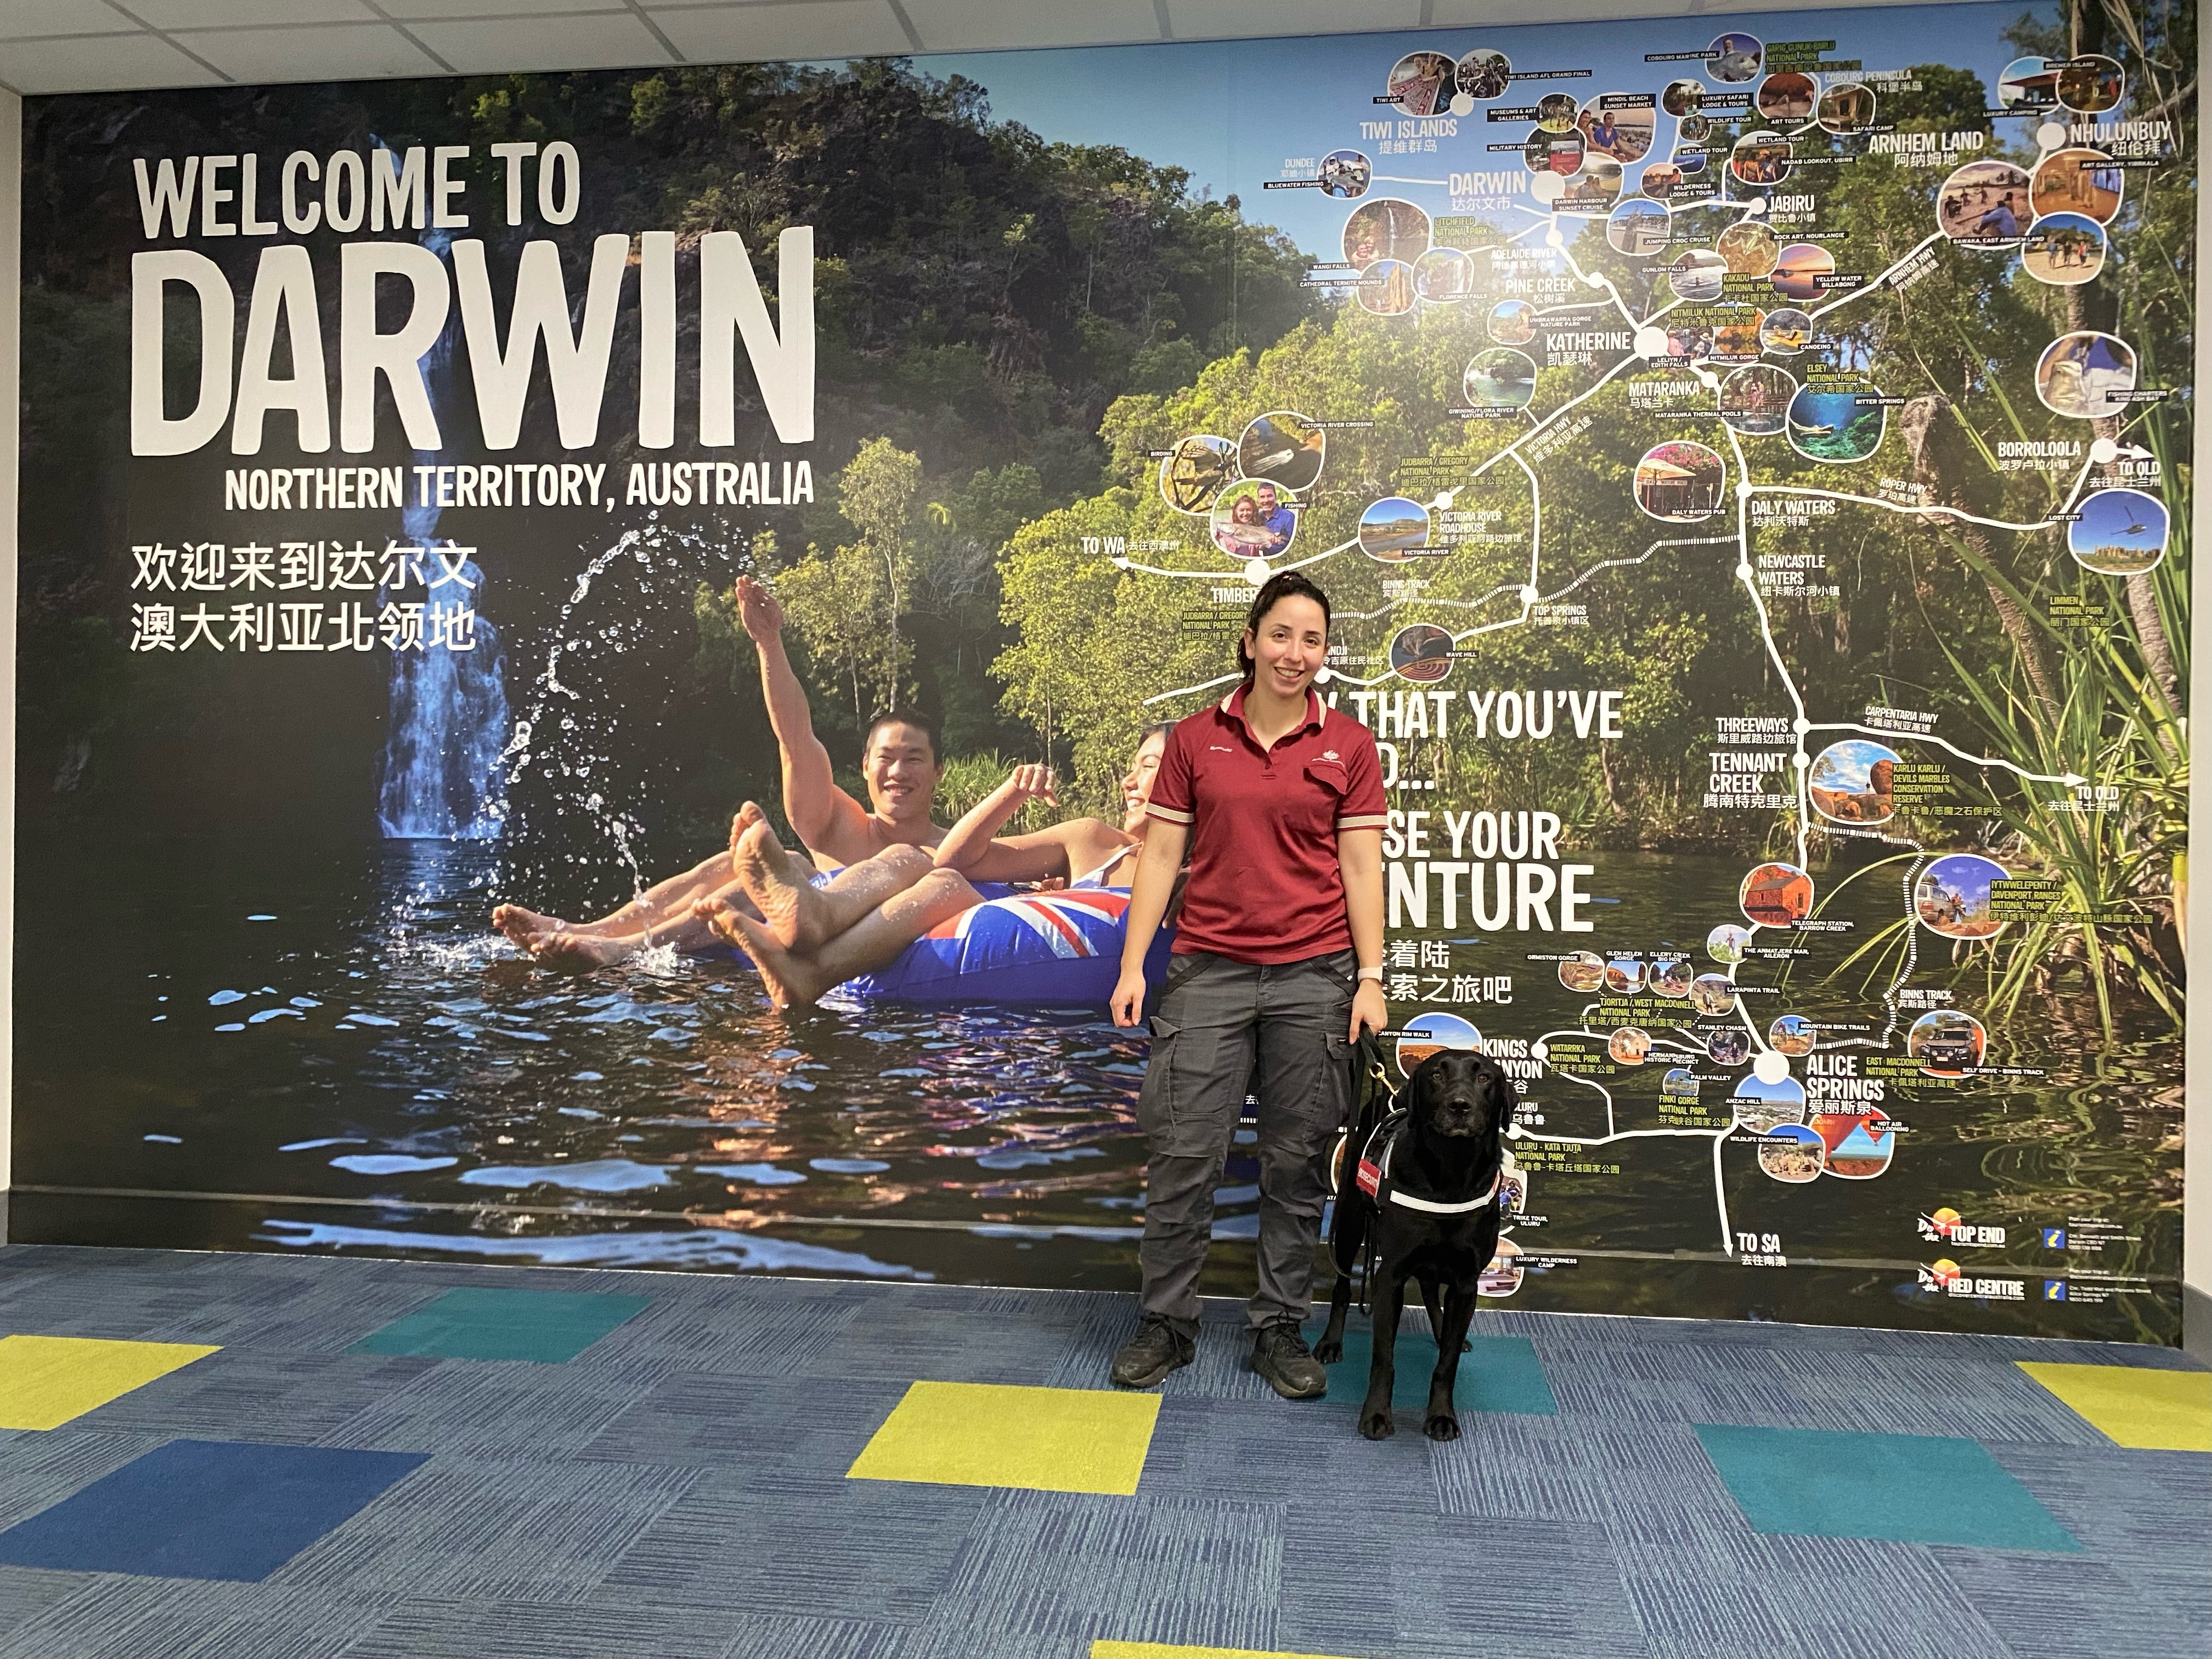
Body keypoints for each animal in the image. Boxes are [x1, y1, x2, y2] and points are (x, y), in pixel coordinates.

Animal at [1318, 1053, 1513, 1442]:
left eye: (1485, 1077)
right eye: (1436, 1074)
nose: (1459, 1105)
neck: (1452, 1172)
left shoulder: (1467, 1283)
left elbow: (1447, 1364)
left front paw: (1441, 1415)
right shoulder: (1390, 1276)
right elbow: (1384, 1358)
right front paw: (1376, 1415)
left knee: (1430, 1291)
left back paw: (1442, 1332)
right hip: (1348, 1223)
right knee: (1343, 1287)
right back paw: (1332, 1342)